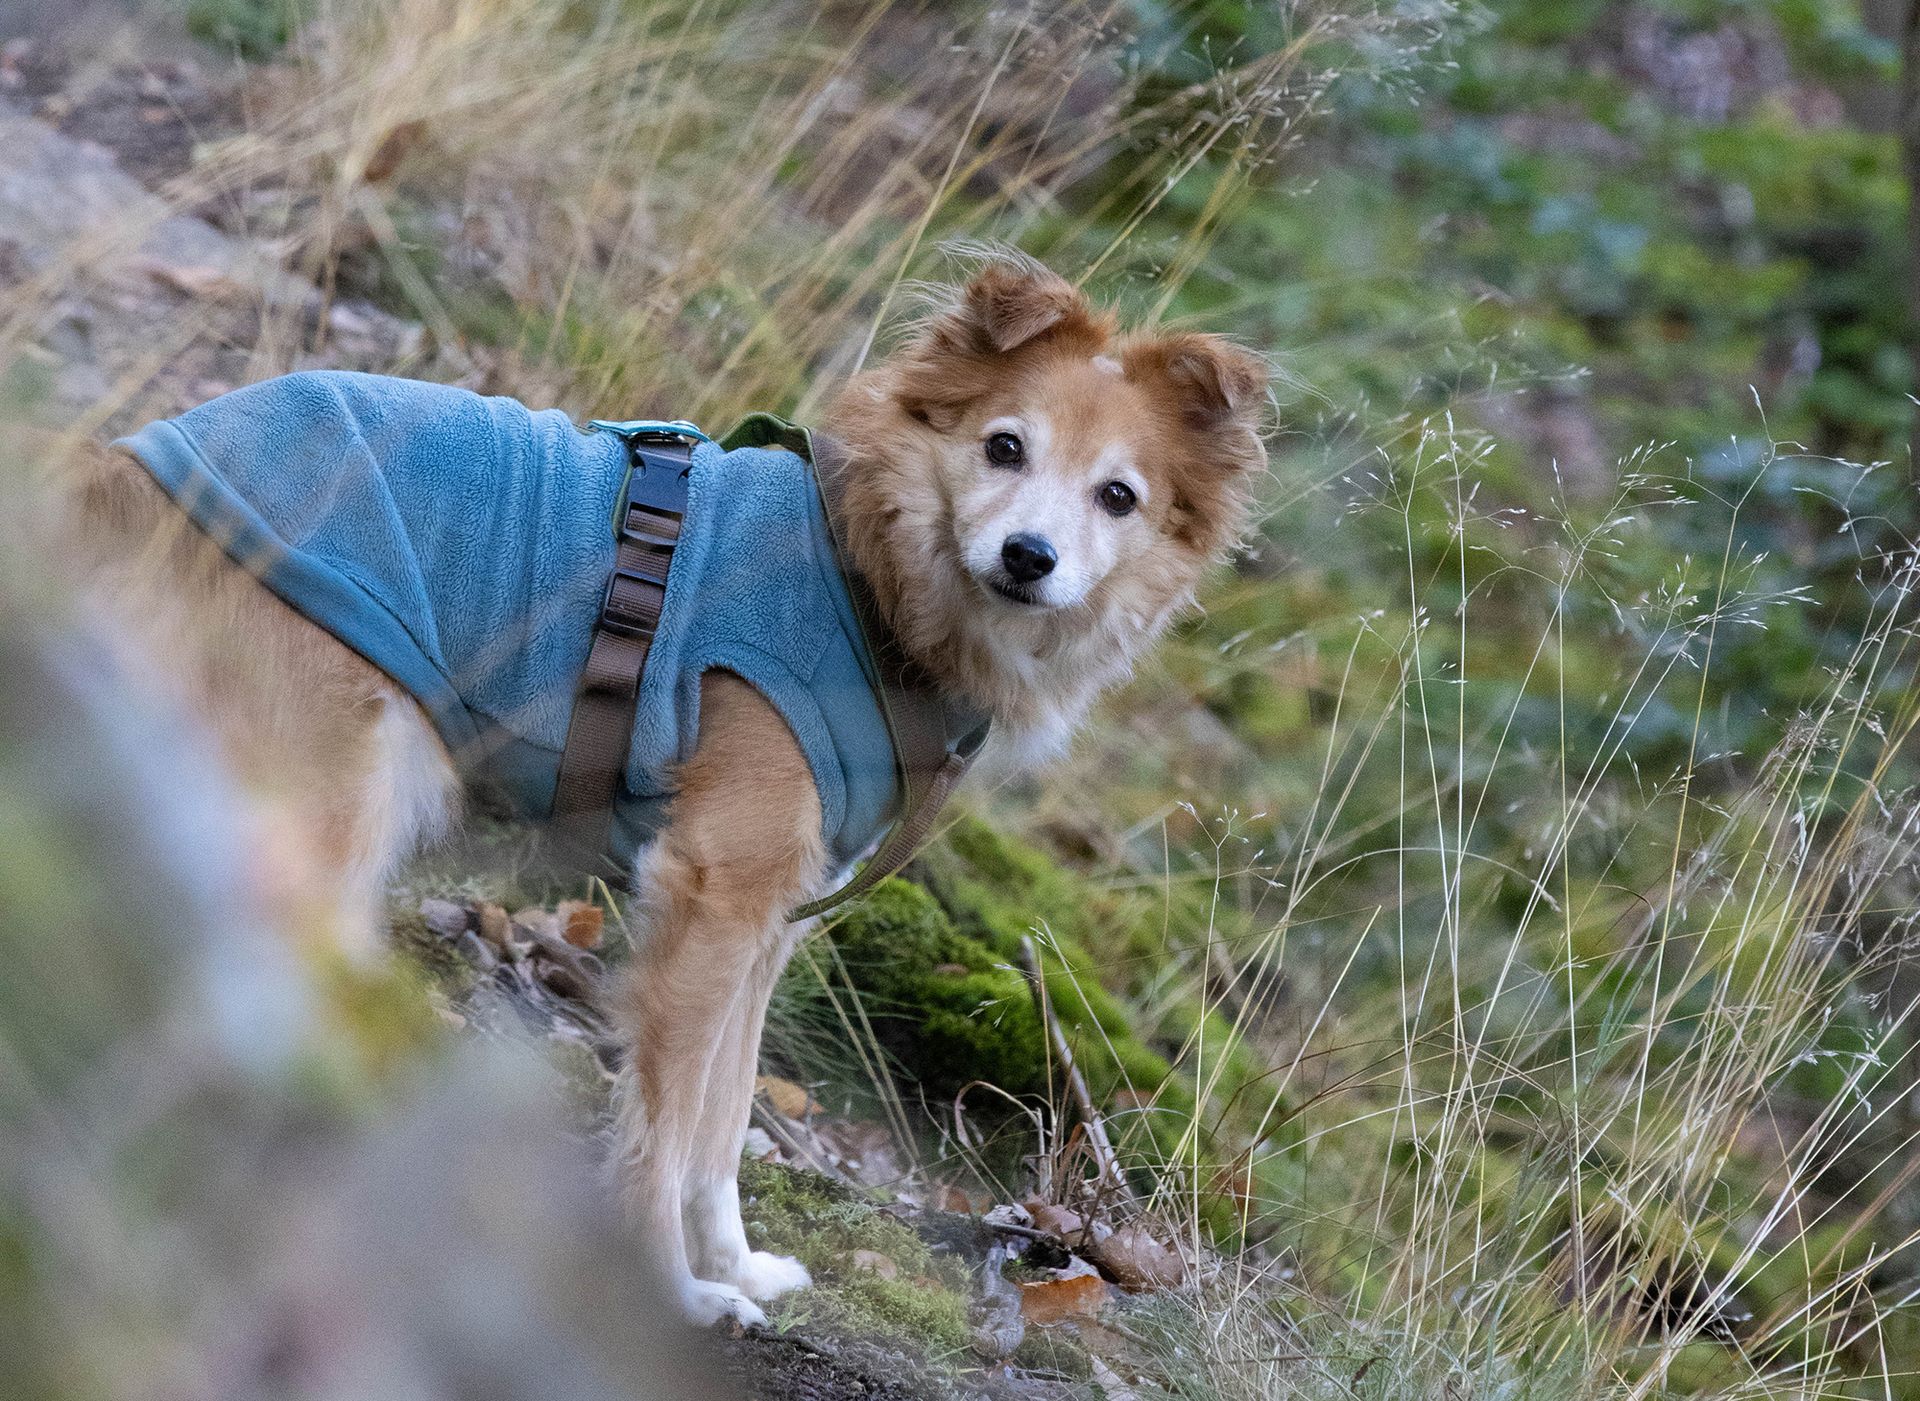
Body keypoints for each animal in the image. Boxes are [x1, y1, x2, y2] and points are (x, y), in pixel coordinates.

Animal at [63, 258, 1267, 1325]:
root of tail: (128, 471)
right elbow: (668, 1119)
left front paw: (732, 1264)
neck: (870, 581)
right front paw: (676, 1291)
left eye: (1119, 497)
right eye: (1003, 447)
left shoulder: (771, 921)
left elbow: (721, 1123)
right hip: (332, 787)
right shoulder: (708, 898)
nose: (1028, 556)